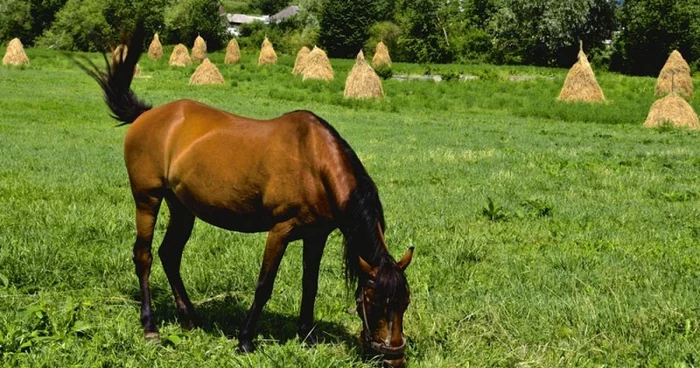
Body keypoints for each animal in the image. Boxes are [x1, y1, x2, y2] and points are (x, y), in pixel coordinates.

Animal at [79, 27, 412, 366]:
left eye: (405, 303)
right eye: (375, 301)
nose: (395, 358)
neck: (314, 161)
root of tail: (146, 116)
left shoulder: (316, 235)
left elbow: (310, 285)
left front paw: (307, 337)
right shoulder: (280, 230)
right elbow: (264, 284)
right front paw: (245, 340)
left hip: (182, 207)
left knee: (169, 254)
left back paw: (190, 318)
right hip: (147, 199)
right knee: (144, 256)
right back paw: (150, 327)